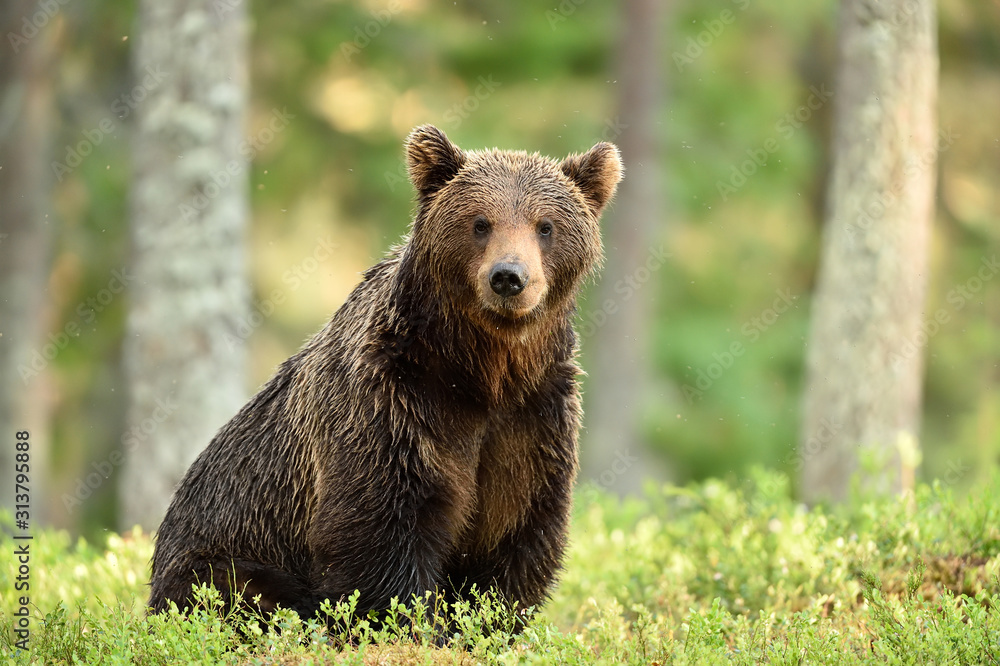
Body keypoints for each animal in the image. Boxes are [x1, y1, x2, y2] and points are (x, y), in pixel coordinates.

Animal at [147, 125, 622, 628]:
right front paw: (412, 623)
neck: (484, 371)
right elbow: (380, 526)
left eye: (545, 225)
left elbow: (513, 529)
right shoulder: (392, 403)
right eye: (480, 223)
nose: (509, 277)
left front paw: (484, 621)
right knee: (240, 590)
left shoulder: (532, 419)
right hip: (217, 550)